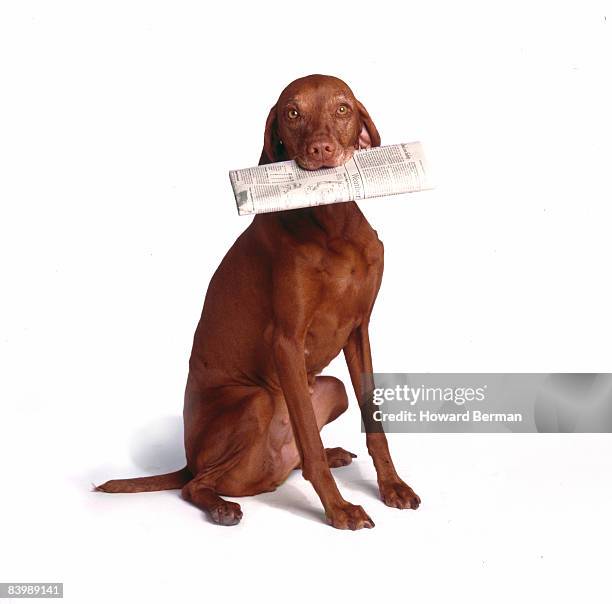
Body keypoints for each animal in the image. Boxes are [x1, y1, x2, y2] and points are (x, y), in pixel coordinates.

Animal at [97, 74, 420, 528]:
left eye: (342, 108)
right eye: (292, 112)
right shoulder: (285, 341)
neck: (332, 227)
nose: (321, 150)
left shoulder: (359, 331)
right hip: (256, 401)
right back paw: (220, 506)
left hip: (331, 387)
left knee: (295, 454)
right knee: (196, 484)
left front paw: (392, 486)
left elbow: (373, 421)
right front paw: (338, 509)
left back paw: (328, 455)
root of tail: (188, 461)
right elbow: (309, 437)